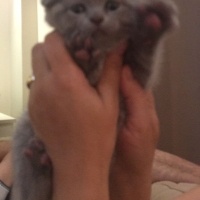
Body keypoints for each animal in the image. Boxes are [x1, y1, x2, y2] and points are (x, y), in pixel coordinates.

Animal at [9, 0, 178, 199]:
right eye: (78, 9)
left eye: (112, 6)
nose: (97, 19)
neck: (104, 51)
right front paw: (83, 53)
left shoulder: (135, 77)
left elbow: (142, 57)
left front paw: (152, 25)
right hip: (24, 131)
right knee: (33, 190)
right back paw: (37, 162)